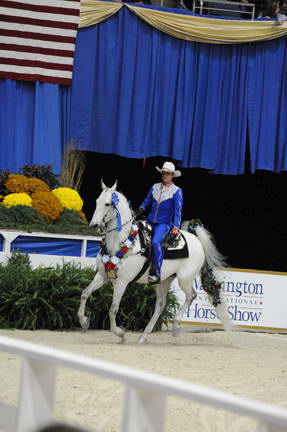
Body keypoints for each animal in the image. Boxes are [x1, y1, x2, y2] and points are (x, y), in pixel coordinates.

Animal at [79, 181, 232, 342]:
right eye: (97, 201)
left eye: (107, 204)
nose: (94, 225)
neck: (120, 242)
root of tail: (197, 240)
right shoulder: (102, 276)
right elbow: (85, 293)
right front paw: (84, 321)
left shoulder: (122, 283)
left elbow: (113, 309)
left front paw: (120, 333)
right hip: (163, 281)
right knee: (160, 306)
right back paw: (143, 336)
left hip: (184, 279)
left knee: (191, 296)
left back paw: (175, 327)